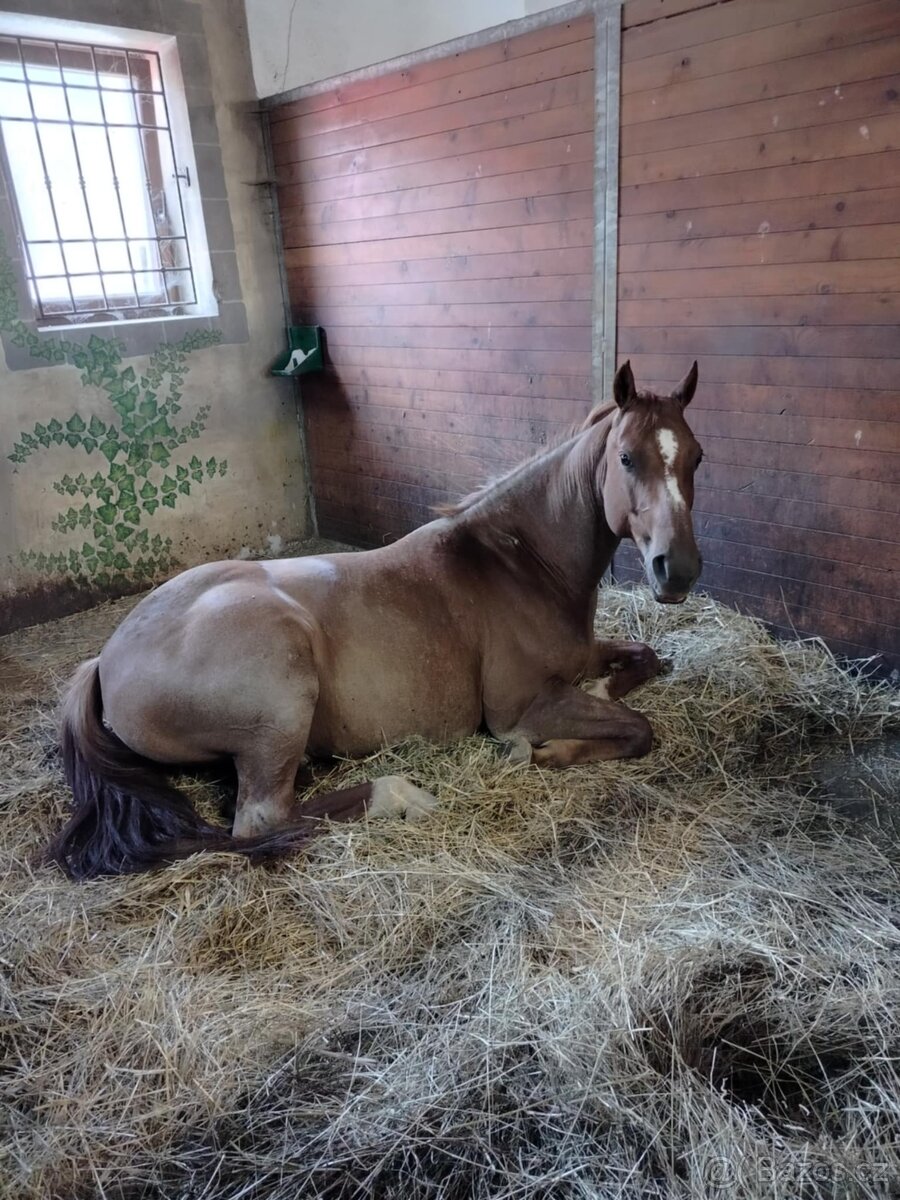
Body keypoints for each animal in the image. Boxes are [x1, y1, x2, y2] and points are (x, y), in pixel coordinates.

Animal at [45, 360, 703, 879]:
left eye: (696, 457)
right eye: (626, 458)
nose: (678, 570)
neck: (520, 562)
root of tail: (105, 660)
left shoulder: (585, 655)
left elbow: (646, 659)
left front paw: (604, 688)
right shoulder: (521, 707)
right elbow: (637, 728)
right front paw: (543, 752)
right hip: (281, 694)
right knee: (264, 819)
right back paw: (402, 795)